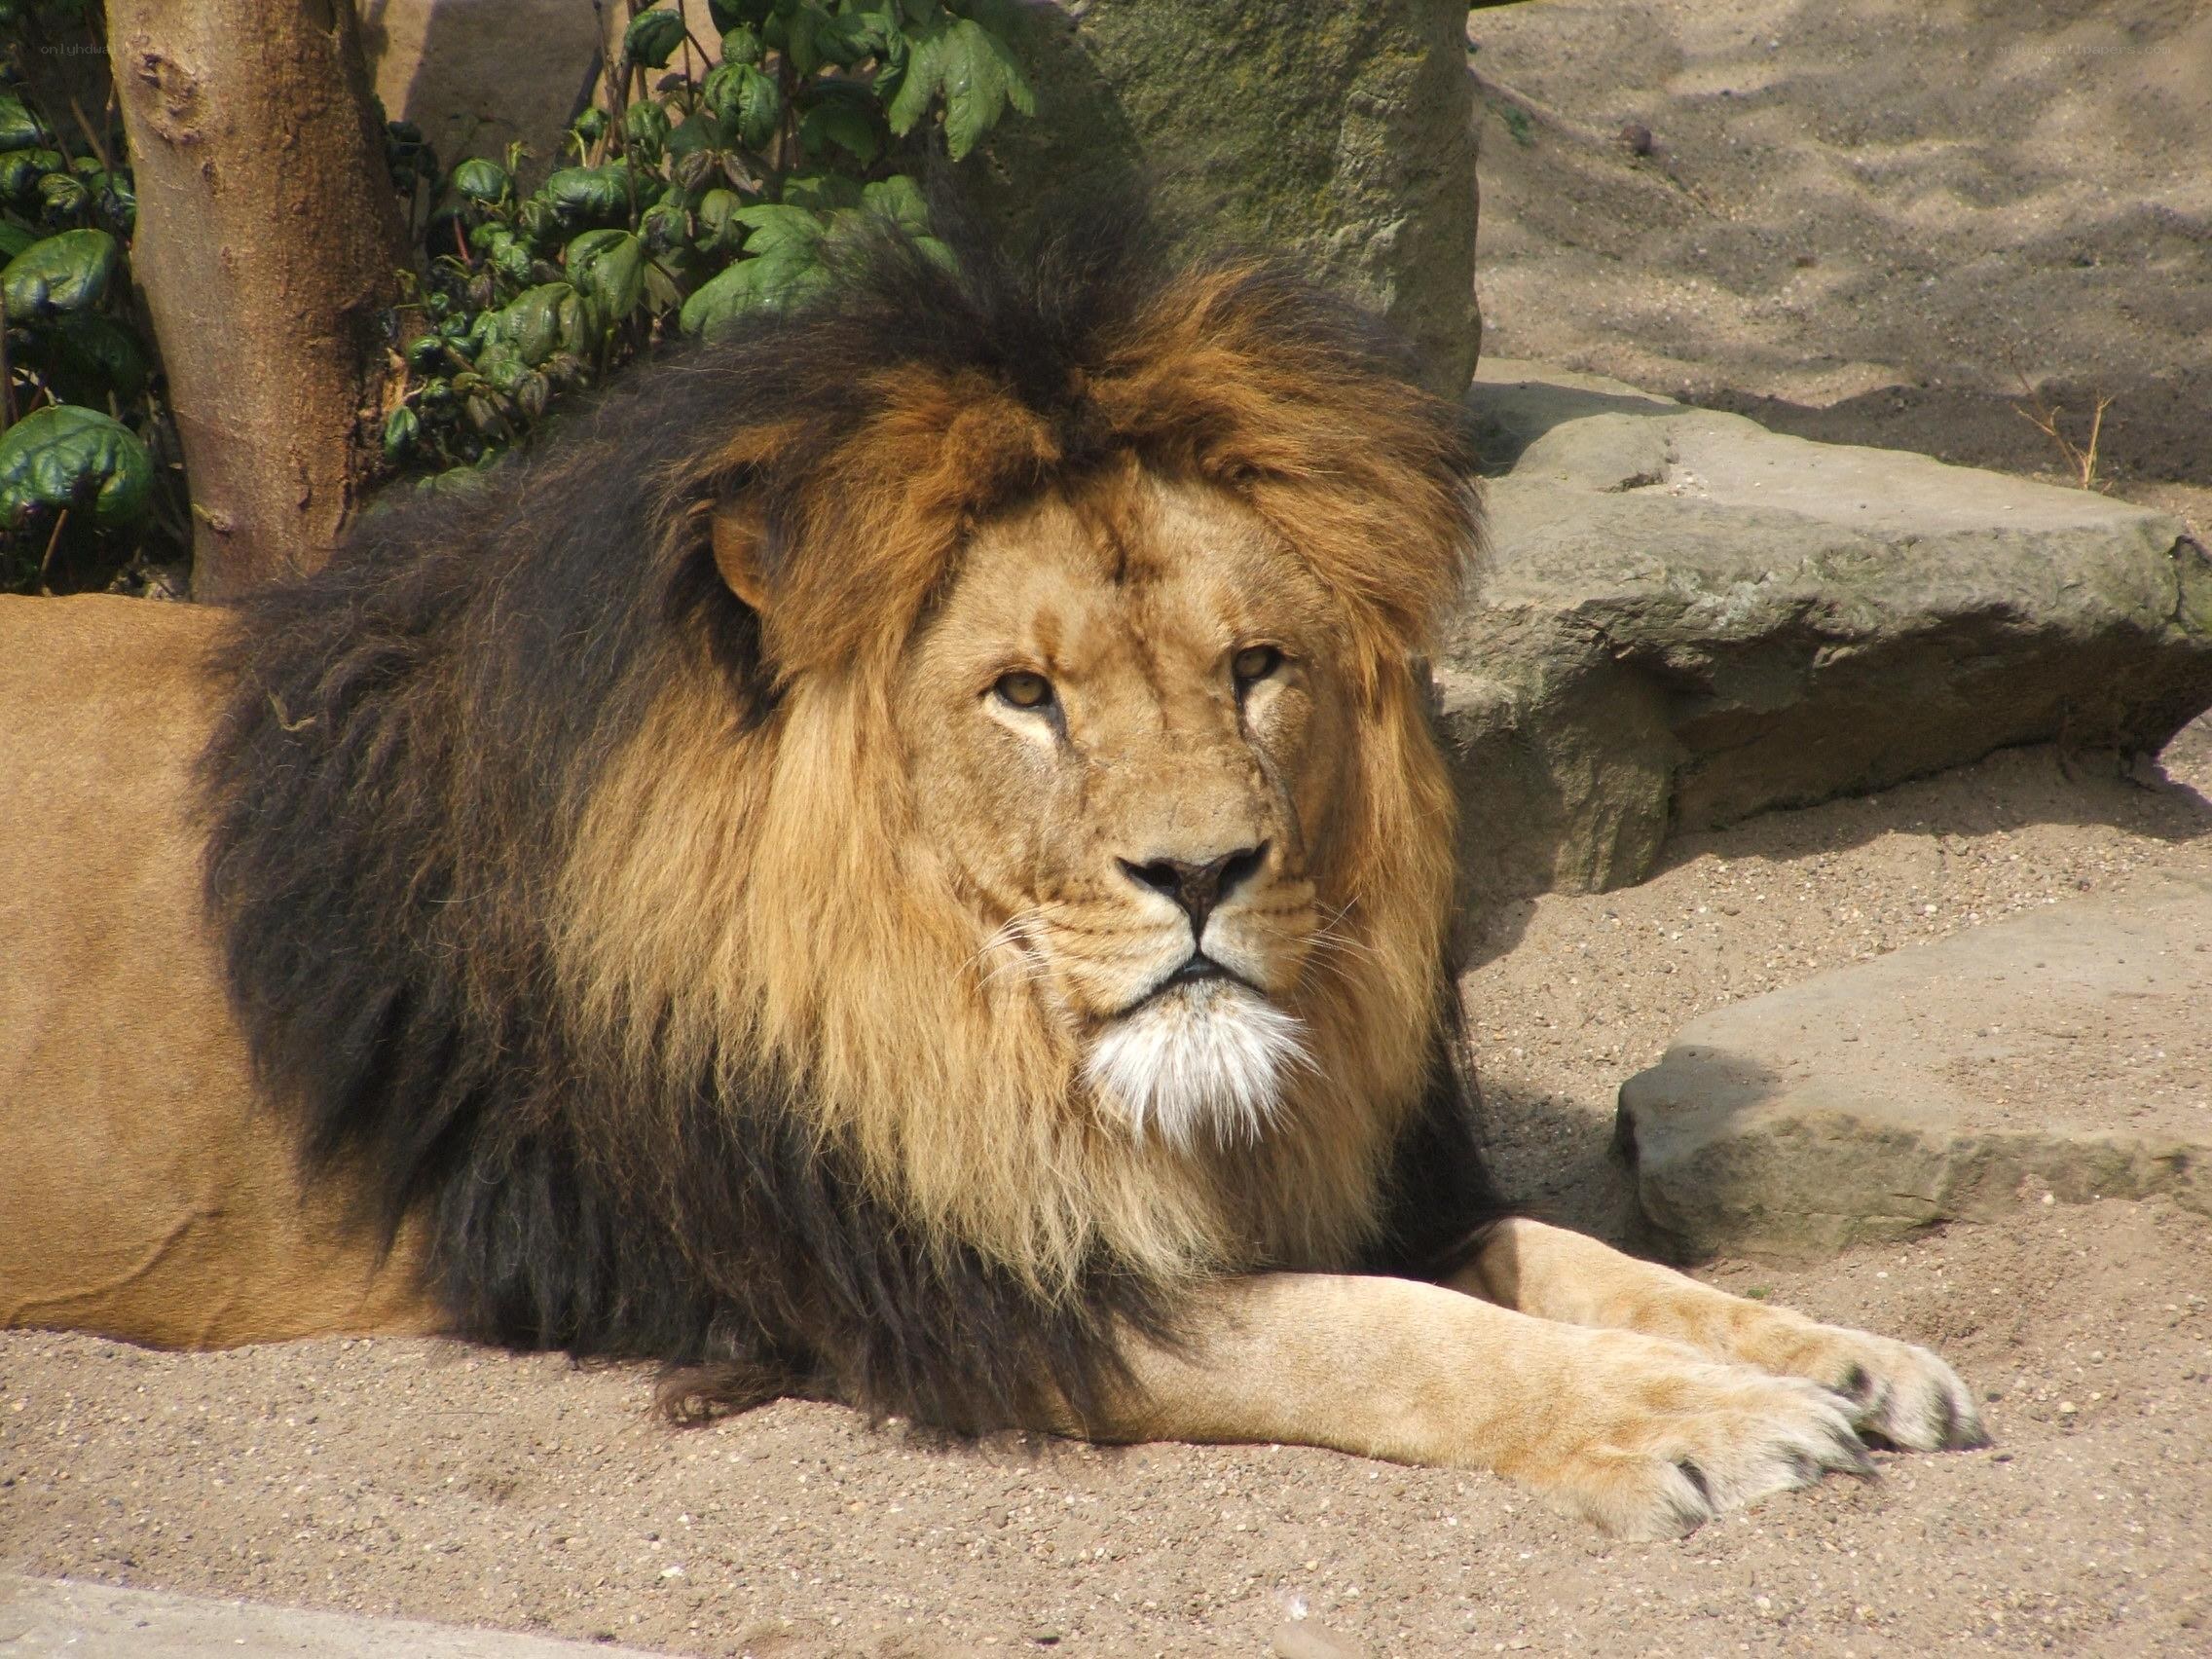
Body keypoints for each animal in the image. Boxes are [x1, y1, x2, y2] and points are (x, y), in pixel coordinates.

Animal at [0, 225, 1985, 1538]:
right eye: (1023, 693)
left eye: (1256, 666)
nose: (1206, 869)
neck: (972, 1021)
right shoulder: (949, 1289)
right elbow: (1389, 1333)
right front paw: (1718, 1421)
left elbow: (1563, 1255)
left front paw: (1847, 1358)